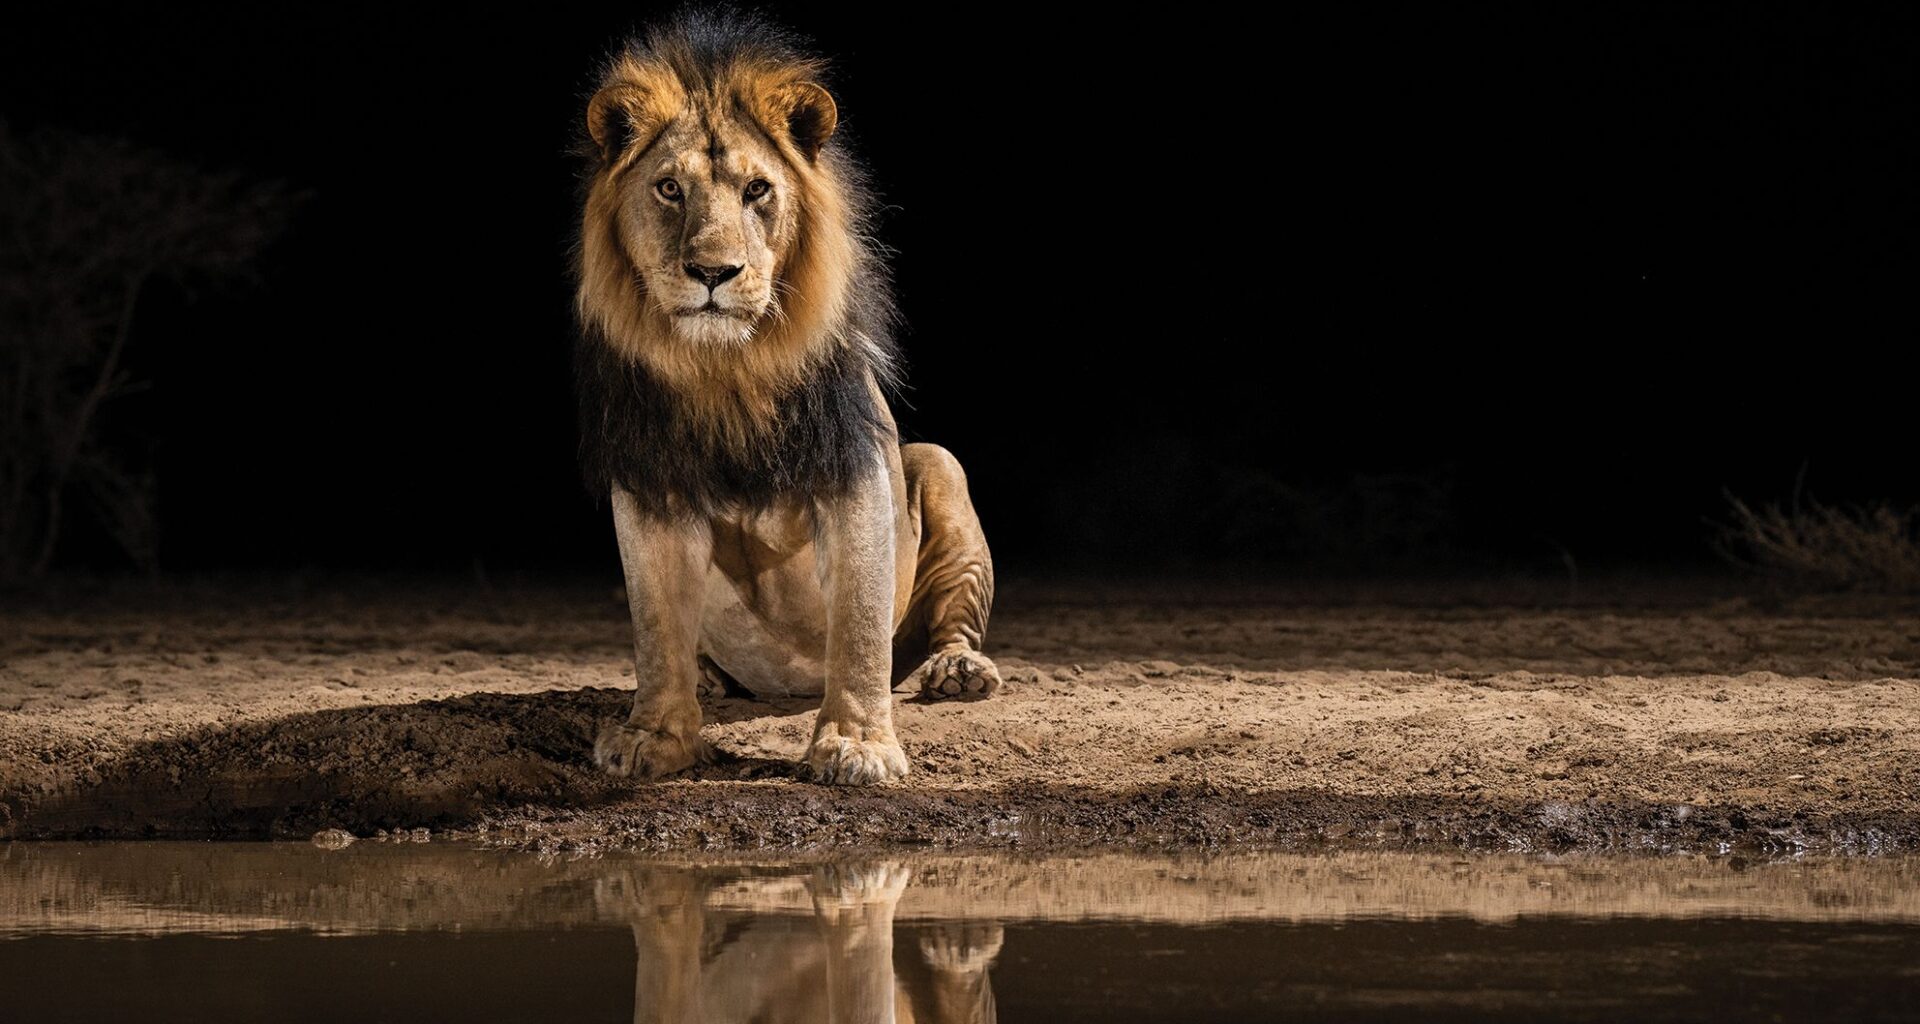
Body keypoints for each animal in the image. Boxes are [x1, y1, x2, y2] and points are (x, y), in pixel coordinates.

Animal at [571, 10, 1001, 786]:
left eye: (757, 191)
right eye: (669, 189)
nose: (713, 271)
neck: (726, 371)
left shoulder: (853, 474)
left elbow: (859, 622)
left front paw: (858, 745)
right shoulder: (649, 485)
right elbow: (656, 626)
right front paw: (654, 736)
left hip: (940, 466)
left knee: (948, 623)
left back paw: (959, 672)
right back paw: (708, 680)